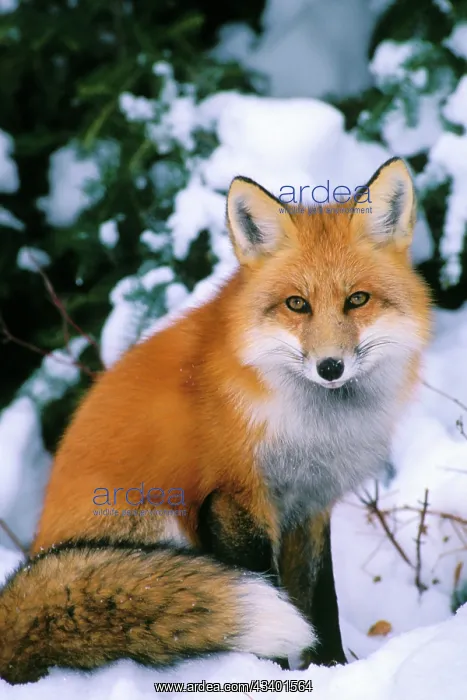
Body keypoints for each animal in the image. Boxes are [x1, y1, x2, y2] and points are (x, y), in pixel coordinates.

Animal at [0, 157, 431, 686]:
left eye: (358, 300)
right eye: (297, 304)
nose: (330, 367)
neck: (311, 428)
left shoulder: (309, 507)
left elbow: (321, 602)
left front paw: (330, 669)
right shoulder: (233, 500)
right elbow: (271, 588)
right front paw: (268, 674)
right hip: (158, 524)